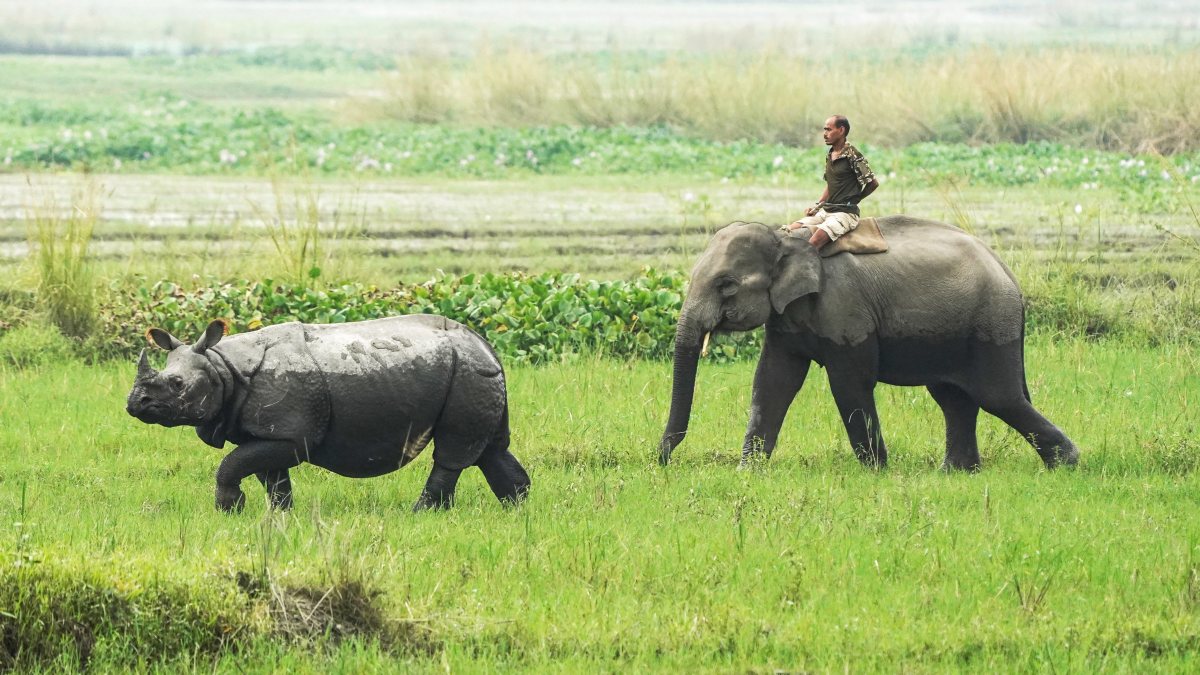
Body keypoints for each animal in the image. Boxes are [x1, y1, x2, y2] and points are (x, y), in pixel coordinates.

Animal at [126, 315, 530, 512]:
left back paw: (422, 513)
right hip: (471, 370)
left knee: (454, 451)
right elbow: (272, 478)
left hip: (467, 371)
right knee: (490, 449)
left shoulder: (292, 434)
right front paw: (282, 515)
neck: (222, 366)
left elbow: (232, 464)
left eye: (177, 384)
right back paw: (516, 508)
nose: (134, 404)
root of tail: (487, 345)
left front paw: (230, 509)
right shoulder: (269, 431)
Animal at [657, 218, 1079, 471]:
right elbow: (773, 382)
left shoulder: (846, 309)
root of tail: (1009, 274)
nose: (661, 460)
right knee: (954, 398)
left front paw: (877, 471)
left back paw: (1066, 464)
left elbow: (849, 383)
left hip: (990, 321)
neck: (786, 238)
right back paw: (956, 473)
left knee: (997, 396)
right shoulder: (785, 318)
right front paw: (749, 471)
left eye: (726, 285)